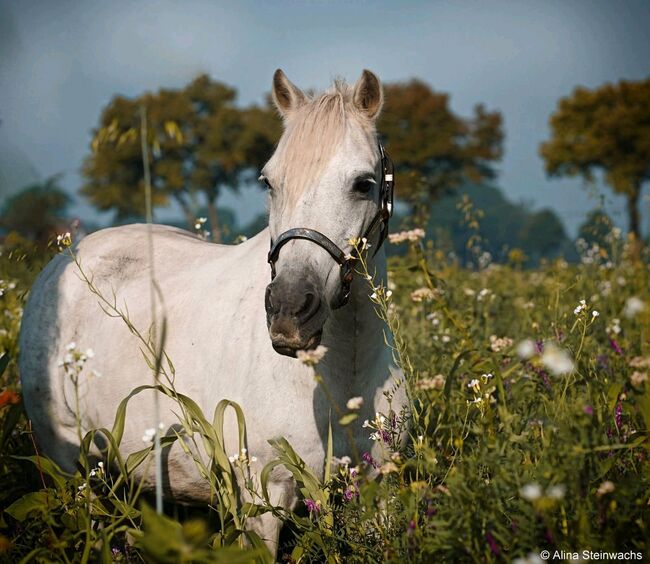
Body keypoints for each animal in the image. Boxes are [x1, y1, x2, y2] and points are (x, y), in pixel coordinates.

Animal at [19, 69, 404, 552]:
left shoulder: (381, 490)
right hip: (72, 465)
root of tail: (62, 262)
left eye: (362, 184)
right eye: (269, 182)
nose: (288, 310)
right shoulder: (264, 498)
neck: (344, 373)